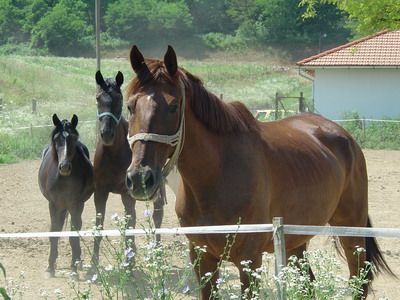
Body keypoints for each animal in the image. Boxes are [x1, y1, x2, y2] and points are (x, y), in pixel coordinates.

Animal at [38, 113, 94, 276]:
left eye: (73, 138)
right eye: (56, 139)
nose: (64, 167)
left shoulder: (76, 204)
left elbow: (73, 236)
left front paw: (74, 269)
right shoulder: (53, 204)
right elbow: (54, 231)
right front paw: (51, 265)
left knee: (77, 228)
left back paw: (78, 261)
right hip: (61, 206)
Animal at [90, 71, 166, 272]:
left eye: (119, 99)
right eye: (98, 98)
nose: (107, 134)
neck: (113, 155)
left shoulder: (127, 194)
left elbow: (130, 223)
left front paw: (129, 263)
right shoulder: (100, 192)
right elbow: (99, 225)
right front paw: (93, 263)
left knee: (157, 216)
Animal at [123, 45, 392, 298]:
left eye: (173, 106)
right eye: (130, 106)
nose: (140, 178)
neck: (216, 177)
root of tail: (344, 135)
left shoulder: (250, 260)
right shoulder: (202, 259)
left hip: (351, 230)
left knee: (359, 281)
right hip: (296, 242)